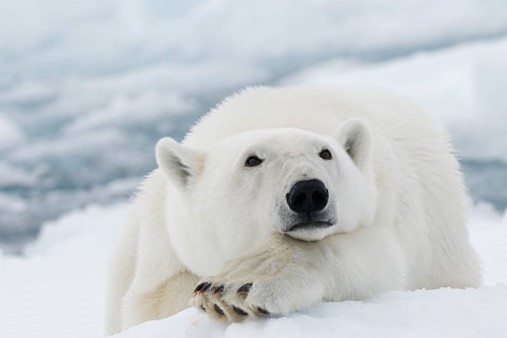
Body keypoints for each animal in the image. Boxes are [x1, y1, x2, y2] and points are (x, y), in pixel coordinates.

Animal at [106, 86, 480, 334]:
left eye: (326, 152)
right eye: (252, 159)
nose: (309, 192)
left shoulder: (386, 206)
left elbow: (380, 258)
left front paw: (236, 286)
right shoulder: (163, 240)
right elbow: (150, 303)